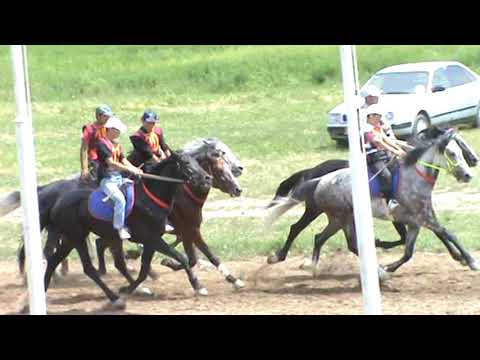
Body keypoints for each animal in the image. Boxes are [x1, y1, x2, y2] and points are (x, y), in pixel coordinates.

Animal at [35, 150, 212, 310]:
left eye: (197, 162)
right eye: (186, 163)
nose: (207, 178)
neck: (151, 199)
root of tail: (58, 201)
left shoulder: (151, 242)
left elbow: (144, 271)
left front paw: (130, 289)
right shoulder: (153, 239)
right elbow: (182, 258)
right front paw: (198, 286)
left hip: (74, 239)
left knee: (57, 261)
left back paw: (44, 290)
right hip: (77, 237)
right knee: (88, 268)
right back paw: (114, 298)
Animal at [96, 138, 248, 292]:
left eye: (228, 167)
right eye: (219, 169)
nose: (238, 189)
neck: (185, 195)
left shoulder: (189, 230)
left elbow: (204, 257)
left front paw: (234, 280)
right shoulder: (189, 230)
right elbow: (196, 258)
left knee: (101, 243)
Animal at [266, 126, 480, 278]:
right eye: (452, 152)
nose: (469, 173)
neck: (414, 176)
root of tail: (317, 179)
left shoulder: (418, 221)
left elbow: (409, 250)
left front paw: (390, 265)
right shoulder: (421, 218)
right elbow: (446, 233)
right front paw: (470, 260)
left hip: (336, 219)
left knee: (320, 237)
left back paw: (312, 266)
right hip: (331, 215)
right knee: (303, 230)